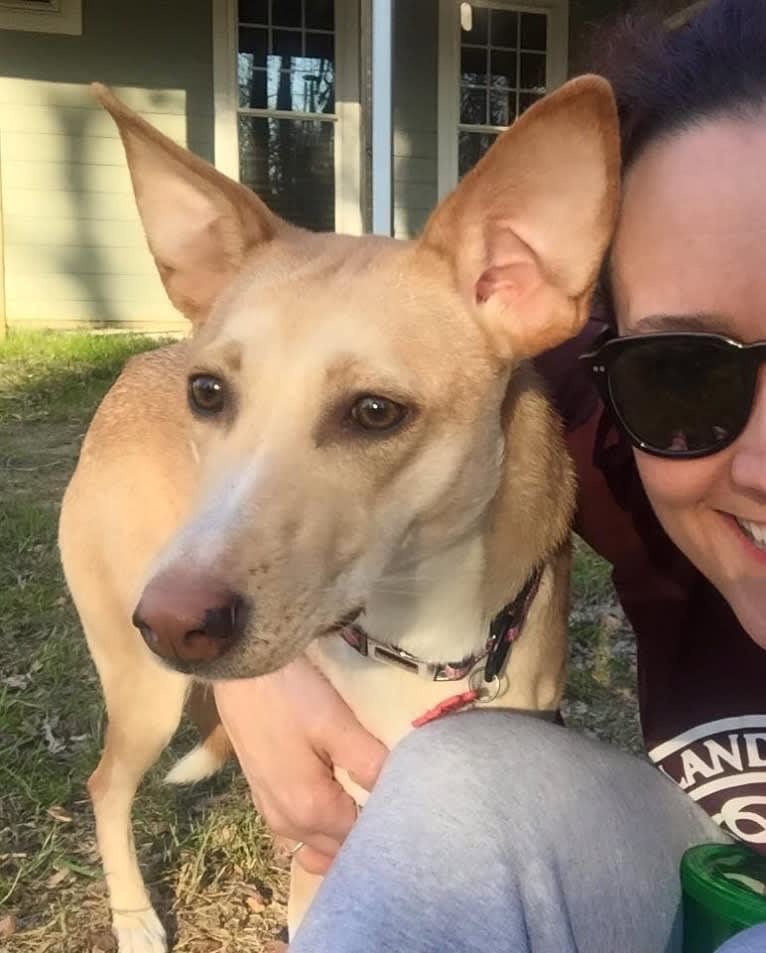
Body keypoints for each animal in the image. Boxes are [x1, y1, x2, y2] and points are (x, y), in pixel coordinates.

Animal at [60, 76, 620, 952]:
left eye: (375, 412)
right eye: (208, 392)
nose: (175, 623)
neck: (416, 643)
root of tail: (128, 373)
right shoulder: (326, 855)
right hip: (143, 688)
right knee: (105, 783)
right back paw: (135, 918)